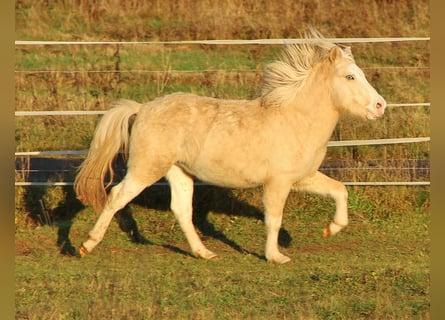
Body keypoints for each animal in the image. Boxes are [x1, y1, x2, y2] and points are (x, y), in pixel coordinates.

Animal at [73, 31, 386, 264]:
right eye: (350, 77)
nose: (381, 106)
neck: (294, 119)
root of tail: (142, 108)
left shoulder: (302, 178)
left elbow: (340, 191)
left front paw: (330, 229)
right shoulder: (278, 183)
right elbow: (273, 219)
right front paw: (275, 256)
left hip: (179, 172)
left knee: (182, 210)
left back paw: (204, 253)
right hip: (146, 169)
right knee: (116, 196)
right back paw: (86, 245)